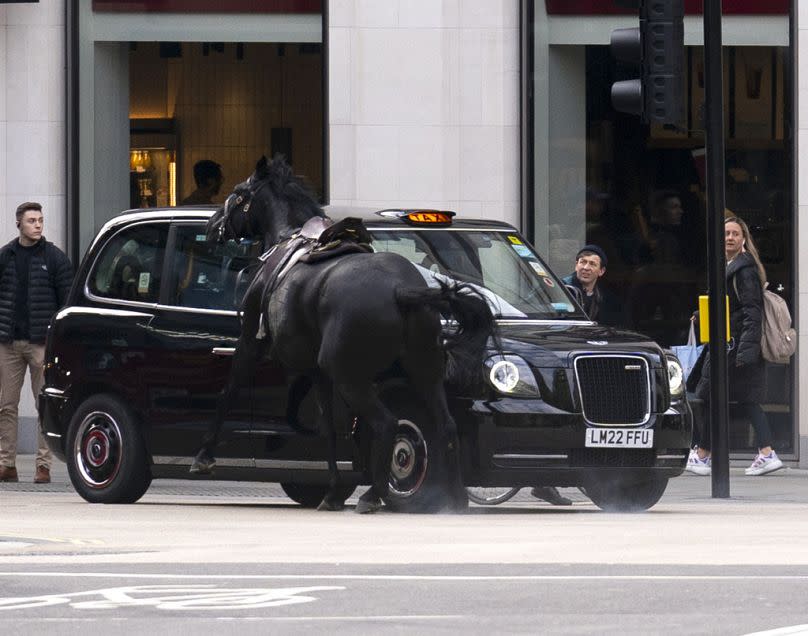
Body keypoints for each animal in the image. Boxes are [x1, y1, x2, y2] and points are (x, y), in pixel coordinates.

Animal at [193, 157, 496, 516]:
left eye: (239, 193)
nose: (213, 225)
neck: (286, 238)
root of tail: (400, 290)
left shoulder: (252, 342)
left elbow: (229, 391)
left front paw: (204, 456)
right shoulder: (317, 371)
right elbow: (329, 429)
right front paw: (334, 490)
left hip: (351, 377)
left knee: (387, 423)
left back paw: (373, 495)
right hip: (424, 370)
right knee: (446, 424)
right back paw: (455, 498)